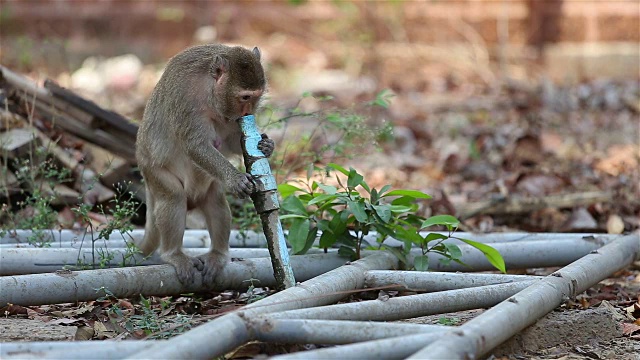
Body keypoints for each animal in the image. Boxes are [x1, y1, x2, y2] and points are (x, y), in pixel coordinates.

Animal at [135, 45, 272, 286]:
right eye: (245, 97)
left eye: (255, 98)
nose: (248, 113)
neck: (210, 91)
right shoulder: (185, 97)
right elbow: (196, 146)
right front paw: (236, 179)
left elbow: (234, 141)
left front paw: (266, 145)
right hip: (154, 173)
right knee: (173, 198)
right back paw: (173, 254)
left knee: (216, 202)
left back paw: (218, 254)